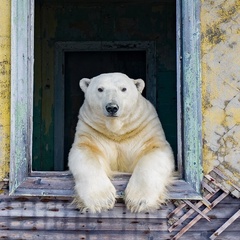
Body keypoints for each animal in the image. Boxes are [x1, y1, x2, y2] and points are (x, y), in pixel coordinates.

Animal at [68, 72, 174, 213]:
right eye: (100, 89)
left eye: (123, 89)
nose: (112, 107)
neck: (117, 131)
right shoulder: (91, 131)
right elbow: (86, 152)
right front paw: (101, 200)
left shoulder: (144, 128)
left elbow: (155, 151)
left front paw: (139, 201)